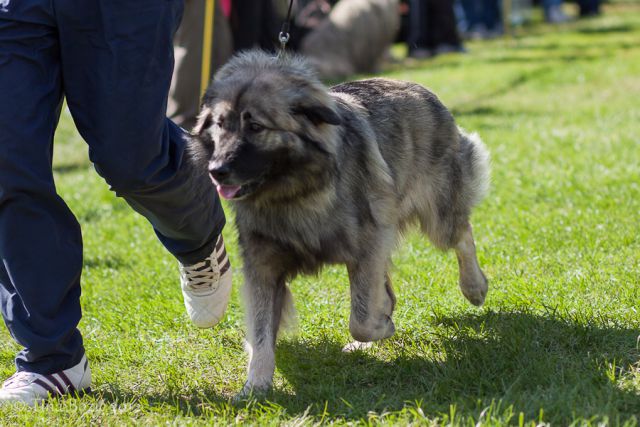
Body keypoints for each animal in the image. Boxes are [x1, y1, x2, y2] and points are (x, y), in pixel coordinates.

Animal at [190, 51, 490, 398]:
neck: (294, 193)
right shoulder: (263, 268)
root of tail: (419, 88)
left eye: (255, 126)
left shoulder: (365, 248)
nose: (216, 170)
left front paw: (381, 327)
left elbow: (360, 319)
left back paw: (474, 286)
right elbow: (262, 332)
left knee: (462, 235)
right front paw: (256, 384)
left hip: (437, 215)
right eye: (220, 125)